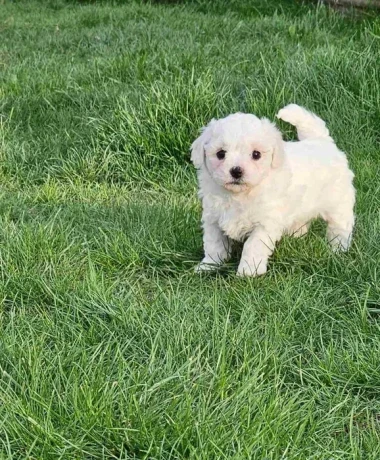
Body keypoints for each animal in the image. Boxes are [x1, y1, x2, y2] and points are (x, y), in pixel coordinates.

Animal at [191, 104, 354, 276]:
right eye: (221, 153)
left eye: (256, 154)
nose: (236, 171)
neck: (240, 195)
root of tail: (322, 140)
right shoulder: (213, 218)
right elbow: (214, 244)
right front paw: (208, 266)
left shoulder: (264, 223)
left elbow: (252, 245)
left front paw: (248, 272)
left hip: (338, 202)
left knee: (340, 226)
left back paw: (338, 249)